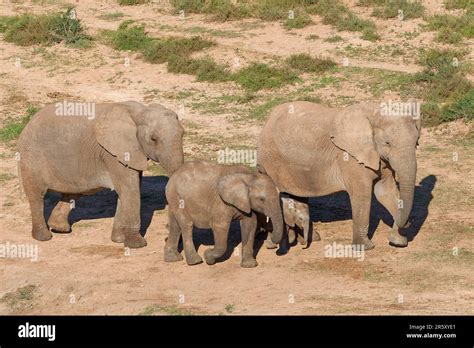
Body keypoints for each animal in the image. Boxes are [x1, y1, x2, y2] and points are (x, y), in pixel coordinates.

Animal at [17, 100, 183, 247]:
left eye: (183, 134)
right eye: (153, 139)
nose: (167, 231)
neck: (140, 111)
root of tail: (28, 124)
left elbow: (128, 190)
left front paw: (118, 240)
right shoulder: (113, 153)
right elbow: (130, 190)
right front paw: (137, 245)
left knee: (72, 193)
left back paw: (59, 228)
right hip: (32, 156)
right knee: (36, 195)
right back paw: (43, 237)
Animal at [258, 100, 420, 250]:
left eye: (416, 142)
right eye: (387, 143)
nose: (407, 223)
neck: (373, 113)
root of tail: (268, 119)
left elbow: (385, 191)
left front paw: (398, 241)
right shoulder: (349, 158)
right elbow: (362, 196)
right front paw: (364, 247)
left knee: (297, 196)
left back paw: (312, 238)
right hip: (271, 162)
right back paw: (276, 243)